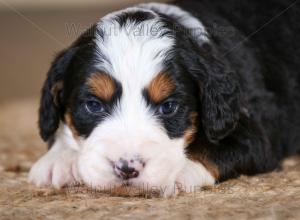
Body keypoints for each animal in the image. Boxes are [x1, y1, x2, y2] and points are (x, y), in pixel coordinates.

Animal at [28, 0, 300, 197]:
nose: (127, 168)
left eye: (168, 107)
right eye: (93, 105)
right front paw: (59, 160)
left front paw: (176, 172)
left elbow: (211, 149)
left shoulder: (255, 136)